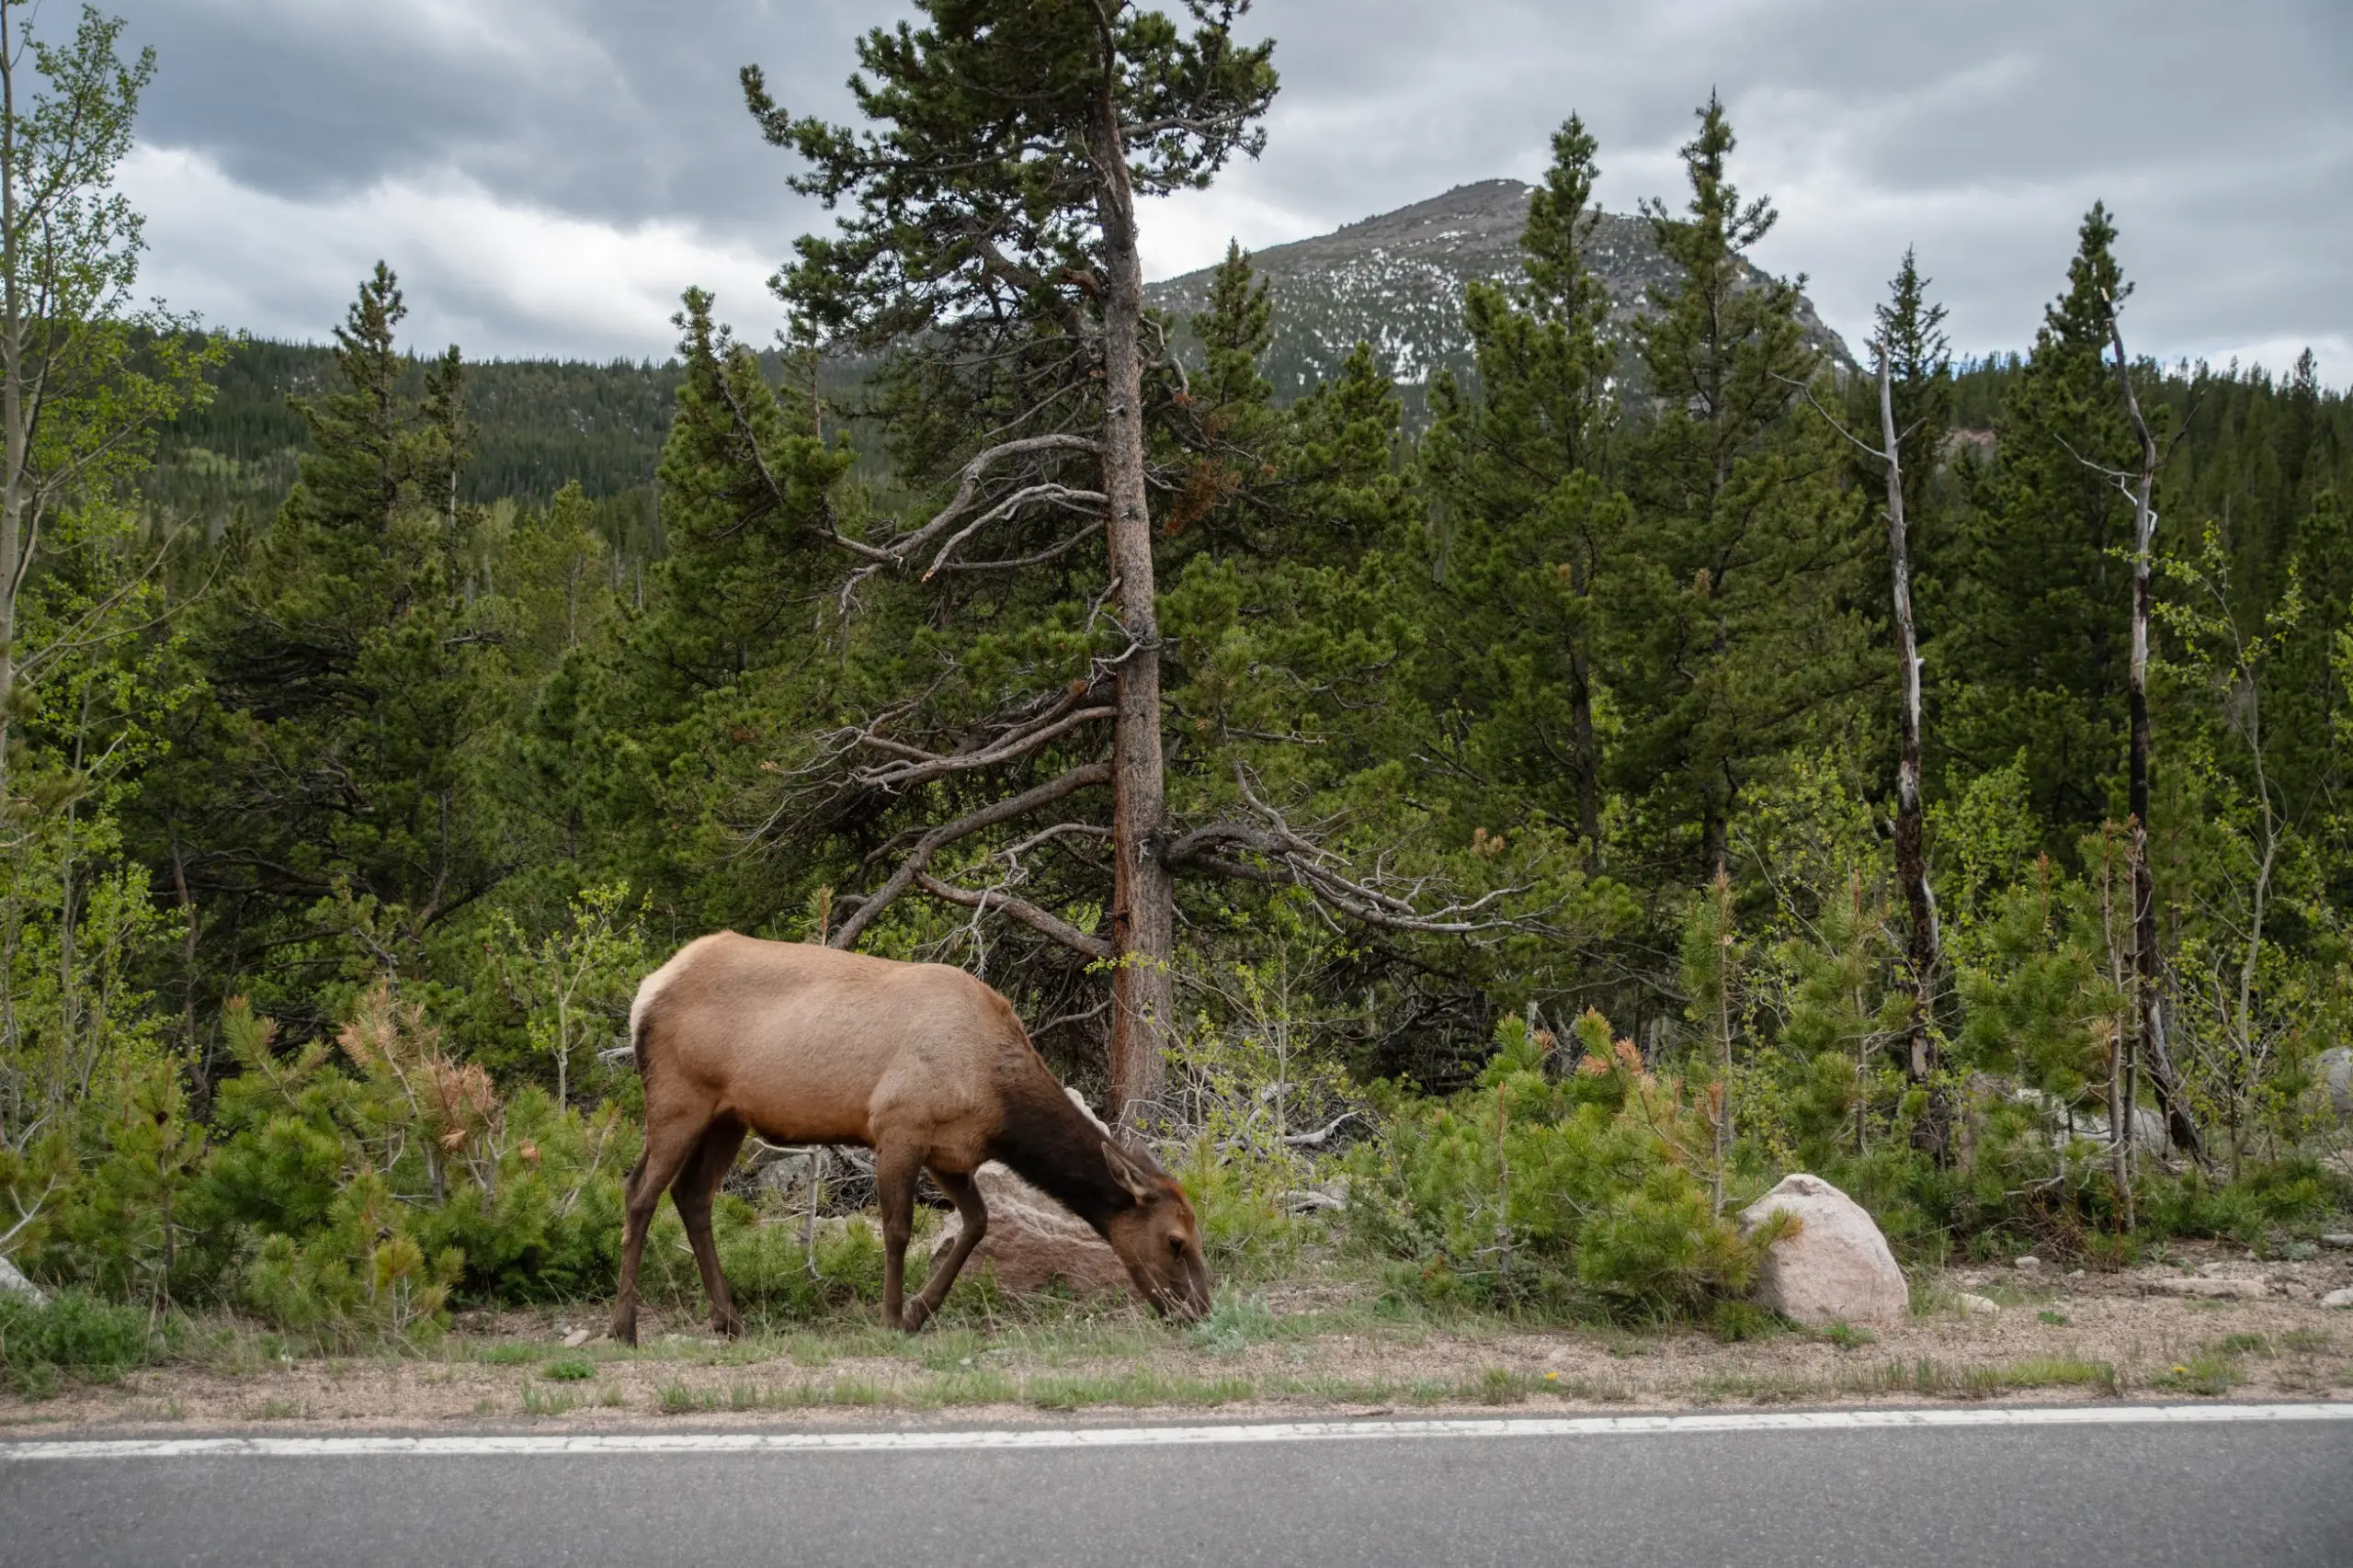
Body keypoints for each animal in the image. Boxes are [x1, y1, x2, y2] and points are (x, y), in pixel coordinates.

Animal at [608, 932, 1211, 1342]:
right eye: (1175, 1241)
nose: (1201, 1310)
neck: (996, 1100)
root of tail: (644, 993)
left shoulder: (951, 1152)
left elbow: (978, 1222)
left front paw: (921, 1309)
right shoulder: (898, 1125)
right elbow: (897, 1230)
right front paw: (893, 1315)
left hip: (728, 1116)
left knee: (692, 1195)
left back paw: (728, 1319)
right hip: (679, 1097)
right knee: (639, 1192)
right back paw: (624, 1326)